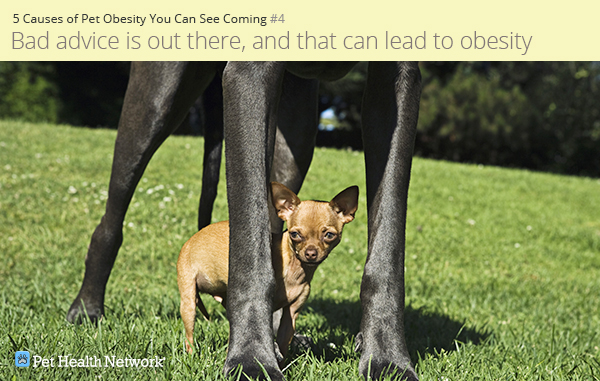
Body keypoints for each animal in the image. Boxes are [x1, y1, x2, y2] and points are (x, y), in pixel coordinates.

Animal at [176, 182, 358, 362]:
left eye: (329, 235)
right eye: (294, 234)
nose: (311, 253)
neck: (295, 270)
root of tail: (190, 240)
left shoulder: (291, 314)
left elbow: (283, 342)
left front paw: (281, 363)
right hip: (188, 302)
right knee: (189, 336)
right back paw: (191, 356)